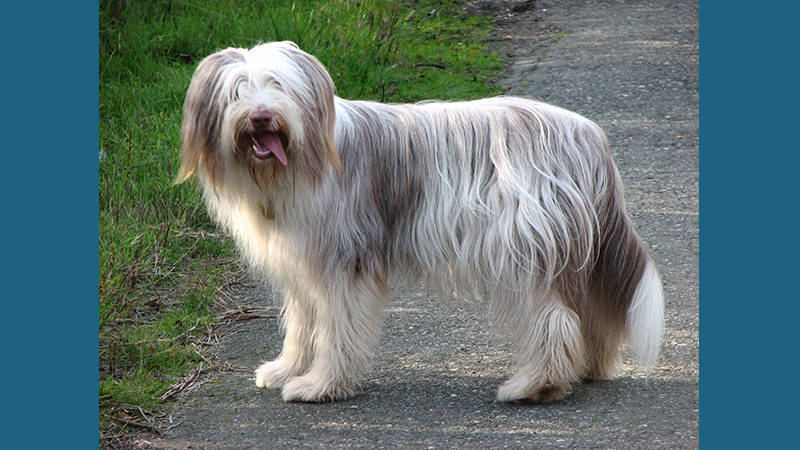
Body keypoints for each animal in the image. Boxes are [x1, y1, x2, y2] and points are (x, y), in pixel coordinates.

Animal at [175, 40, 664, 402]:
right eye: (237, 91)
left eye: (278, 85)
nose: (261, 116)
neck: (295, 163)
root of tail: (589, 135)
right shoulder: (302, 263)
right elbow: (302, 324)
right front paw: (287, 369)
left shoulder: (343, 263)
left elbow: (336, 329)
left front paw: (320, 385)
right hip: (573, 251)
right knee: (589, 309)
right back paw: (586, 368)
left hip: (521, 248)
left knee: (553, 318)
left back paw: (534, 385)